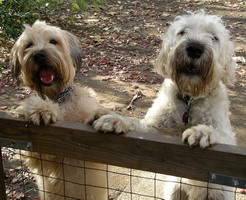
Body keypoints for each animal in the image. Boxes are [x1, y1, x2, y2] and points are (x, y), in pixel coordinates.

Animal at [10, 20, 107, 200]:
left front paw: (101, 116)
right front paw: (40, 109)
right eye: (29, 45)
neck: (59, 98)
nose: (39, 55)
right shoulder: (41, 155)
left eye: (53, 41)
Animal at [91, 10, 237, 200]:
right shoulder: (154, 130)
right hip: (174, 189)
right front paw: (116, 120)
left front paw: (202, 132)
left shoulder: (227, 139)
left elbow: (220, 134)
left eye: (214, 37)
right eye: (182, 32)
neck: (189, 100)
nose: (194, 48)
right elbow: (139, 125)